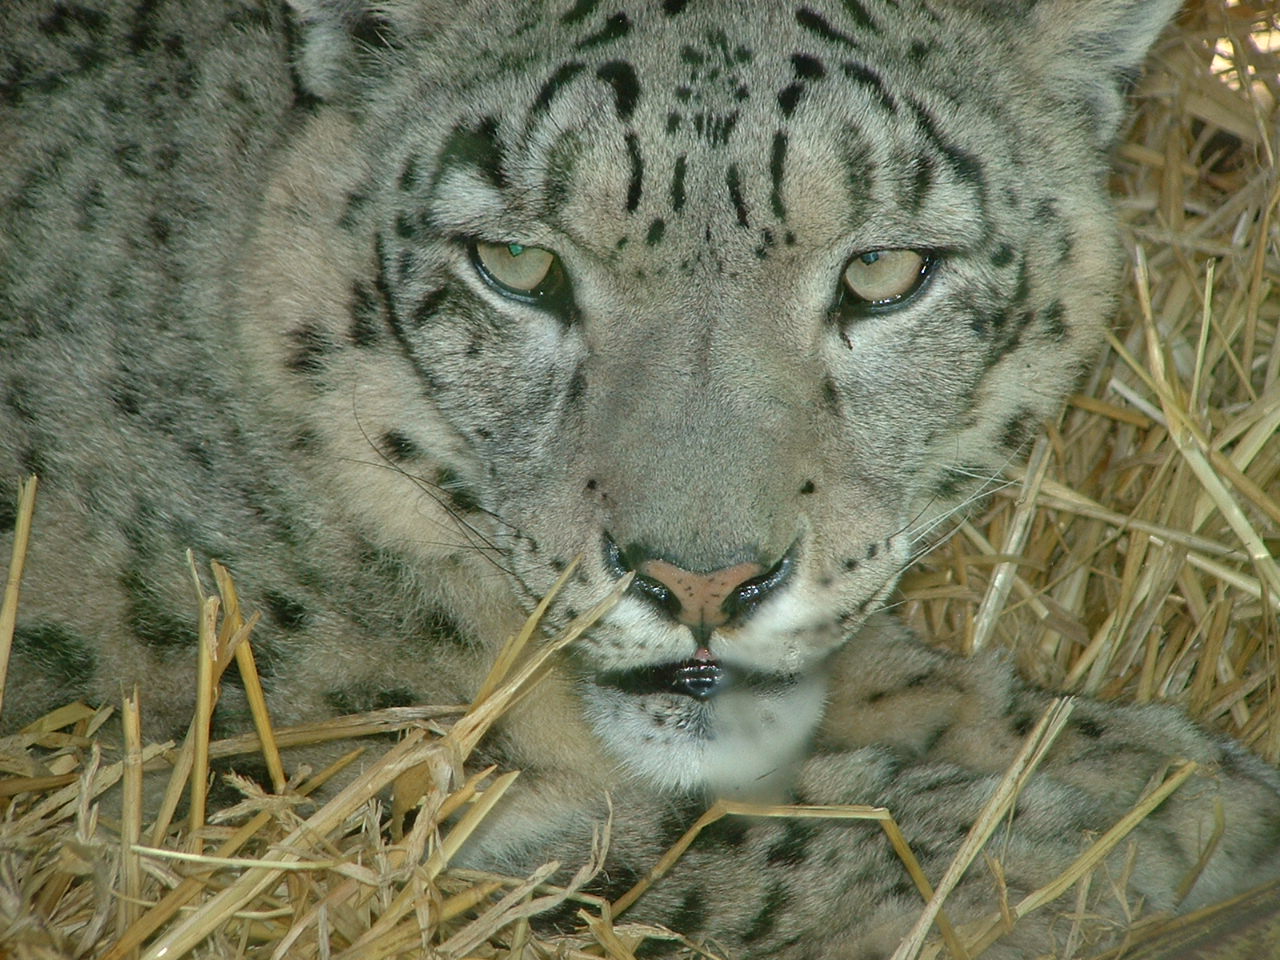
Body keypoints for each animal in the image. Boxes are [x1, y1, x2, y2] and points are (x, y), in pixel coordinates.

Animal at [2, 0, 1279, 956]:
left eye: (882, 270)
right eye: (516, 263)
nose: (701, 584)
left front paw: (1146, 769)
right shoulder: (259, 769)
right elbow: (650, 853)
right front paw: (1076, 845)